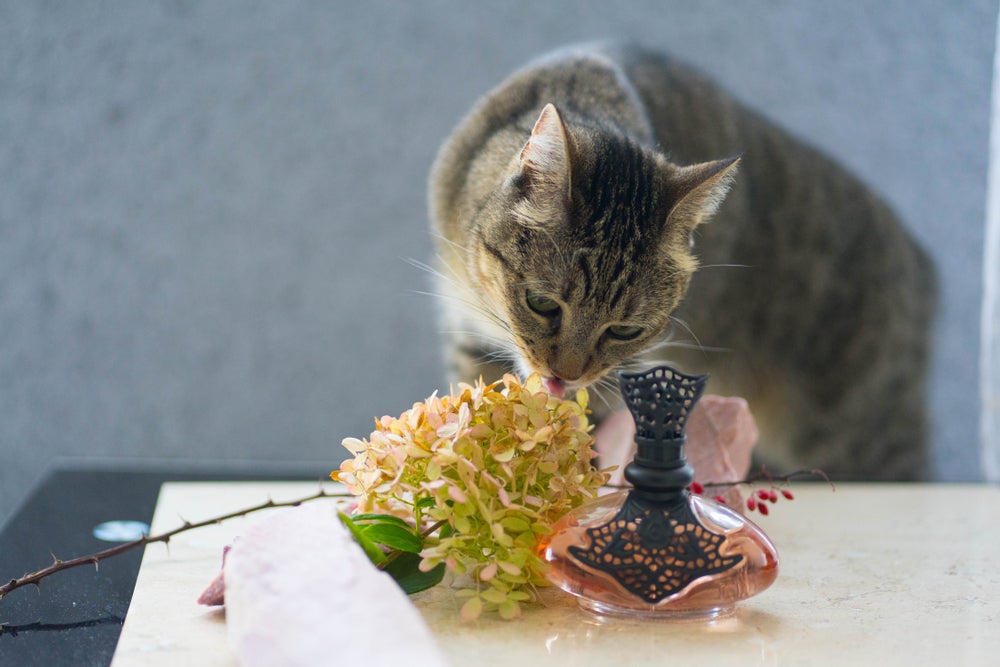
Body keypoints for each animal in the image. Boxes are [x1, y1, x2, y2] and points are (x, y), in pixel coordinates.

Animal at [430, 43, 936, 480]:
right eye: (541, 303)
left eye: (624, 331)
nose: (564, 376)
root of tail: (921, 258)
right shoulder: (468, 331)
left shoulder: (622, 376)